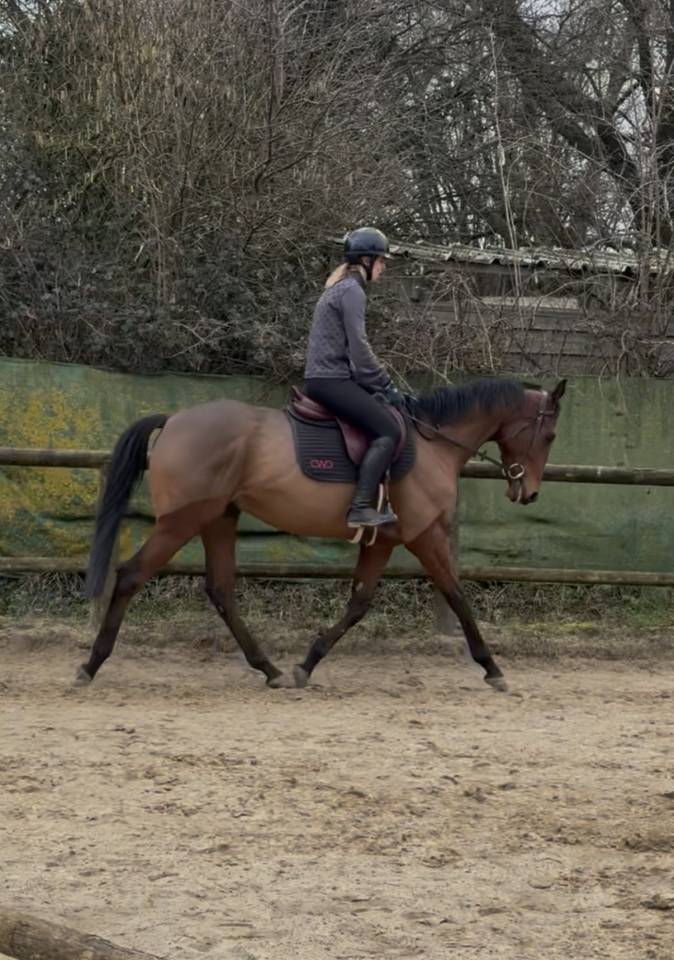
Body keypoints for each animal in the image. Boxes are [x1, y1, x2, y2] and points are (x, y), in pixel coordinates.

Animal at [78, 376, 566, 692]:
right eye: (550, 435)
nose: (529, 492)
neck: (433, 444)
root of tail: (175, 419)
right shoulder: (421, 535)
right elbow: (457, 595)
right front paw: (492, 667)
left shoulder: (383, 542)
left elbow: (359, 603)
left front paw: (306, 664)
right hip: (181, 522)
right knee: (131, 576)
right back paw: (91, 664)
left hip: (219, 518)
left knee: (221, 590)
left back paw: (270, 670)